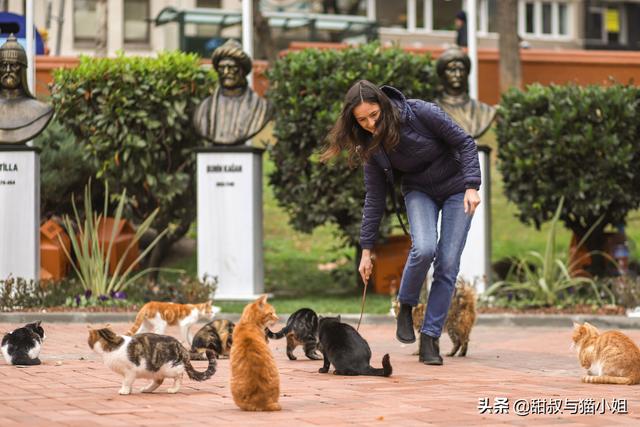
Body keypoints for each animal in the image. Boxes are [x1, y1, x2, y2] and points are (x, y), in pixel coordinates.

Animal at [87, 328, 219, 394]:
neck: (115, 344)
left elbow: (126, 381)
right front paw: (129, 390)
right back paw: (147, 389)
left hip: (169, 368)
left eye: (89, 340)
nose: (87, 342)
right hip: (154, 369)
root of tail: (182, 348)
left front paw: (124, 390)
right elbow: (128, 382)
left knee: (179, 374)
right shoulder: (129, 373)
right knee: (159, 380)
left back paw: (174, 389)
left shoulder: (130, 371)